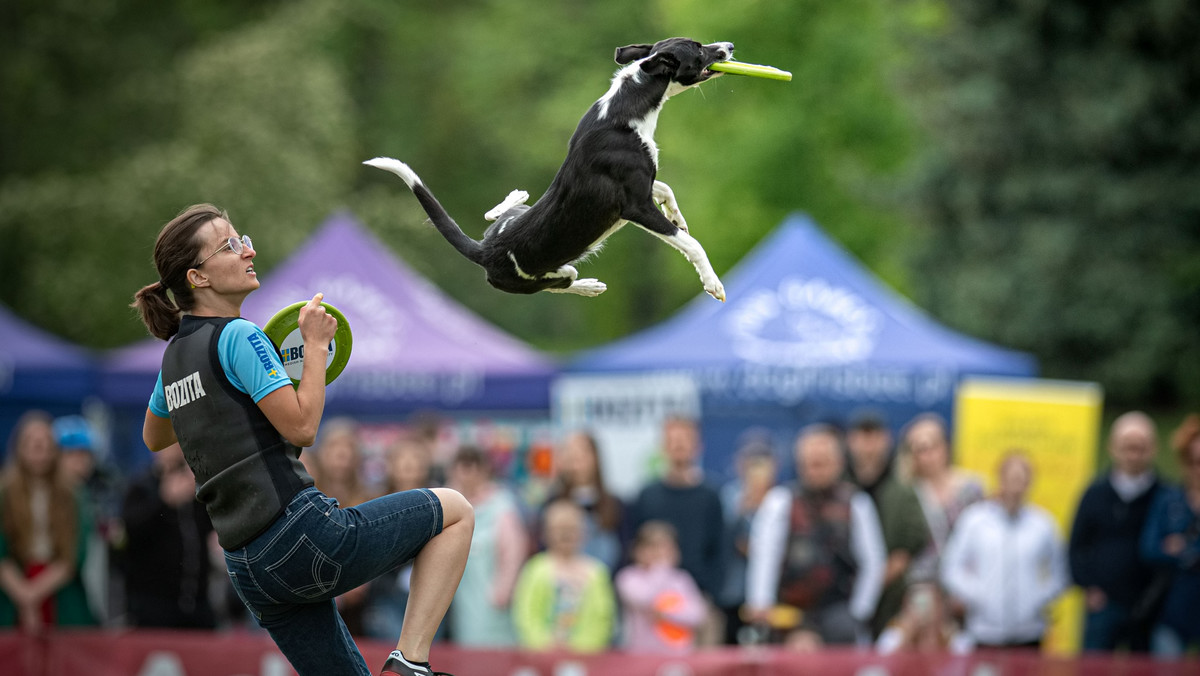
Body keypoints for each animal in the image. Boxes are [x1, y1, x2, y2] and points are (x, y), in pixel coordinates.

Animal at [360, 37, 724, 301]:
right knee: (560, 283)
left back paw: (514, 199)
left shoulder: (644, 184)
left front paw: (677, 215)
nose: (729, 46)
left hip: (513, 226)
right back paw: (587, 285)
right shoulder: (636, 206)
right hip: (544, 276)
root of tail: (483, 253)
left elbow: (666, 189)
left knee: (494, 217)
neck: (626, 106)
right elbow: (692, 244)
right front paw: (713, 283)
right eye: (696, 48)